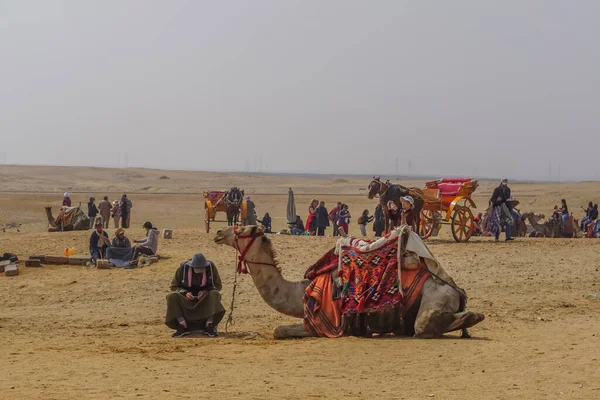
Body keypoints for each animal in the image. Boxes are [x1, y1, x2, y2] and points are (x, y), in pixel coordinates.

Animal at [213, 227, 486, 340]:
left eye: (242, 230)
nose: (218, 233)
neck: (300, 292)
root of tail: (455, 289)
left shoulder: (326, 324)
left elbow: (279, 330)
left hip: (434, 298)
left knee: (427, 324)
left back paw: (474, 317)